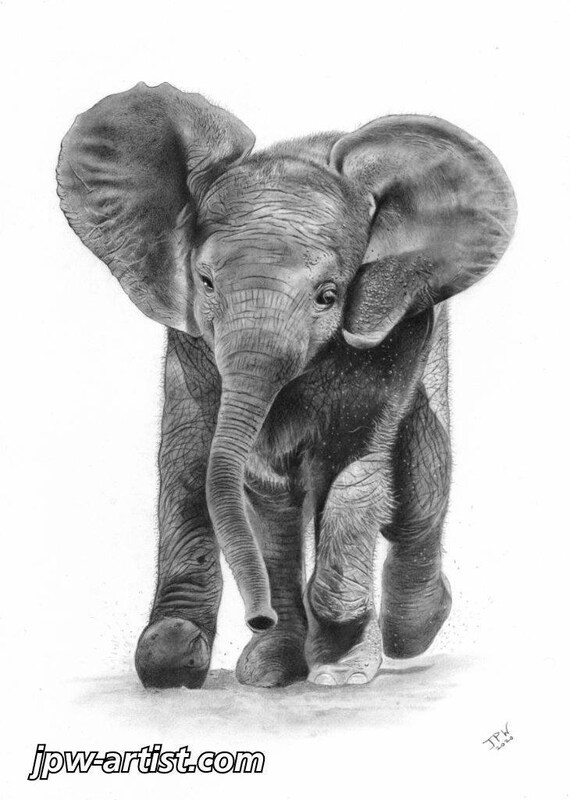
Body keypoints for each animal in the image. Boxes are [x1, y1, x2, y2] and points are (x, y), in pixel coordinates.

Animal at [56, 82, 516, 690]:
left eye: (328, 295)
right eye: (205, 282)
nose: (256, 617)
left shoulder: (393, 334)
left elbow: (355, 470)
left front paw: (341, 667)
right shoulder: (193, 342)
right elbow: (232, 476)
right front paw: (206, 664)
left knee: (420, 490)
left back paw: (408, 636)